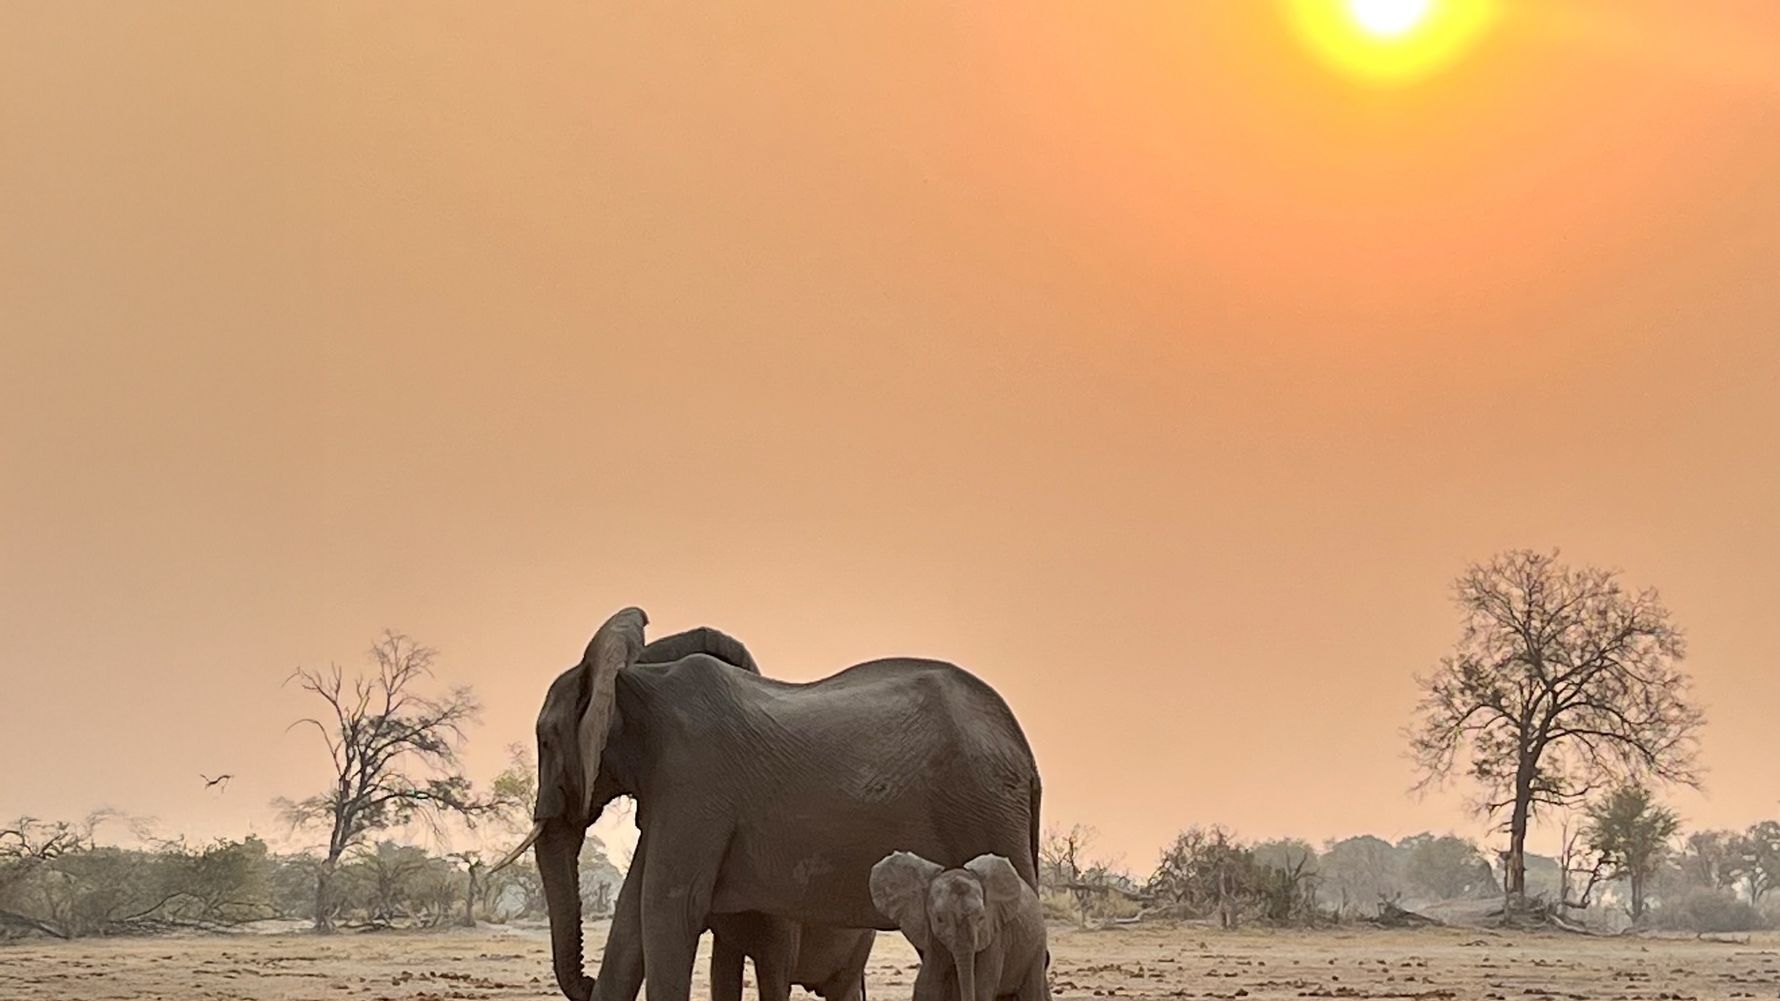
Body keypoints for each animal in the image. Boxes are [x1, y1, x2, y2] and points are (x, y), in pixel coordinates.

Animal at [869, 852, 1048, 1001]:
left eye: (981, 918)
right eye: (939, 919)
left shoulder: (994, 935)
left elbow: (981, 988)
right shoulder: (933, 937)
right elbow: (928, 985)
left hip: (1037, 942)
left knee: (1032, 991)